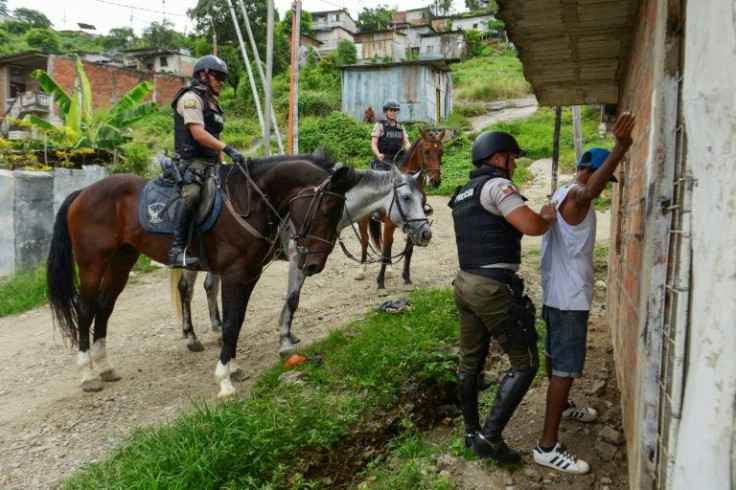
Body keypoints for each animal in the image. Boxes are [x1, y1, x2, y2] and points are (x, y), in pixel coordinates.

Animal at [46, 153, 360, 398]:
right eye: (328, 210)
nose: (314, 265)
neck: (251, 201)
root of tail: (82, 193)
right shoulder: (234, 274)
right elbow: (230, 323)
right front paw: (224, 381)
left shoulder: (249, 275)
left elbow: (237, 321)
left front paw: (233, 367)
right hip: (92, 263)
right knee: (85, 309)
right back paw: (88, 374)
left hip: (121, 260)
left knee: (104, 307)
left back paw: (104, 366)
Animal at [356, 128, 446, 290]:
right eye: (426, 151)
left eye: (441, 151)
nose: (435, 181)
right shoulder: (390, 224)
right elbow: (385, 250)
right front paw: (380, 282)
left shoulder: (415, 225)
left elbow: (408, 250)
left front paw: (406, 277)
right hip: (363, 220)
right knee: (365, 241)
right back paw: (362, 269)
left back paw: (390, 269)